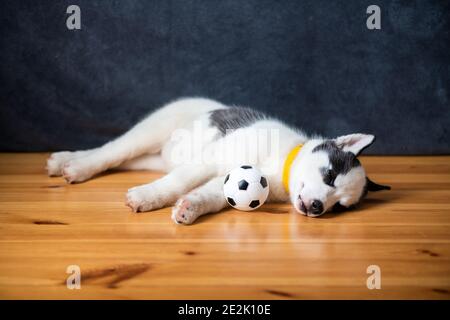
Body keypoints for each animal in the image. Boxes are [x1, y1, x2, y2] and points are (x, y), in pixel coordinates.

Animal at [46, 97, 390, 225]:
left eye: (339, 206)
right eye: (330, 175)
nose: (317, 208)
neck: (280, 165)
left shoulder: (235, 181)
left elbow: (211, 195)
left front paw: (190, 208)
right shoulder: (212, 158)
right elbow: (178, 182)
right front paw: (149, 196)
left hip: (154, 158)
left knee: (122, 158)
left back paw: (65, 160)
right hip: (152, 130)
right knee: (111, 150)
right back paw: (77, 165)